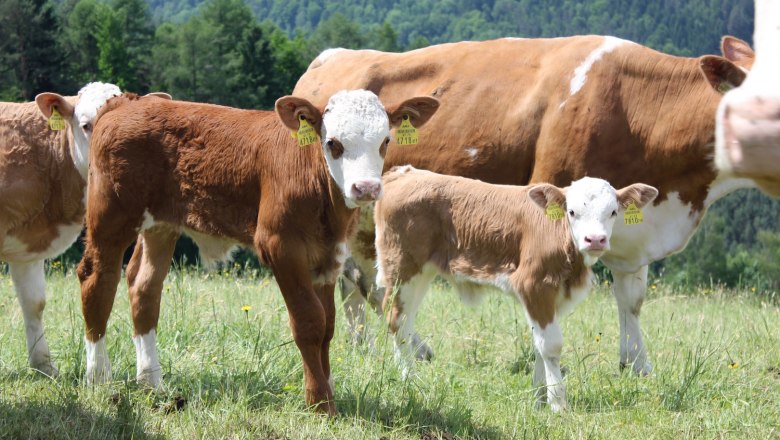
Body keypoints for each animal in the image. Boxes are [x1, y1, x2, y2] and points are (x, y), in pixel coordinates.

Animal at [77, 90, 439, 414]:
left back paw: (151, 381)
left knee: (144, 286)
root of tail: (129, 102)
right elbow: (309, 322)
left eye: (385, 141)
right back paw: (98, 376)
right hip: (111, 215)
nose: (366, 188)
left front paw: (328, 389)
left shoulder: (327, 256)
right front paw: (320, 402)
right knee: (97, 280)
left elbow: (327, 326)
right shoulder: (280, 246)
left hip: (161, 224)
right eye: (333, 143)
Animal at [293, 35, 756, 375]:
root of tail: (331, 57)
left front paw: (636, 367)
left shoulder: (631, 229)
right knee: (367, 284)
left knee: (358, 281)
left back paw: (364, 348)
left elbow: (632, 299)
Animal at [375, 166, 658, 412]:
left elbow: (539, 344)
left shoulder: (551, 298)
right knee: (396, 320)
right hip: (402, 266)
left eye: (613, 212)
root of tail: (404, 173)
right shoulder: (534, 285)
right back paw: (409, 379)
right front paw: (558, 403)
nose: (595, 240)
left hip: (422, 273)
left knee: (406, 320)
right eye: (572, 211)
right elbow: (551, 345)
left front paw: (539, 399)